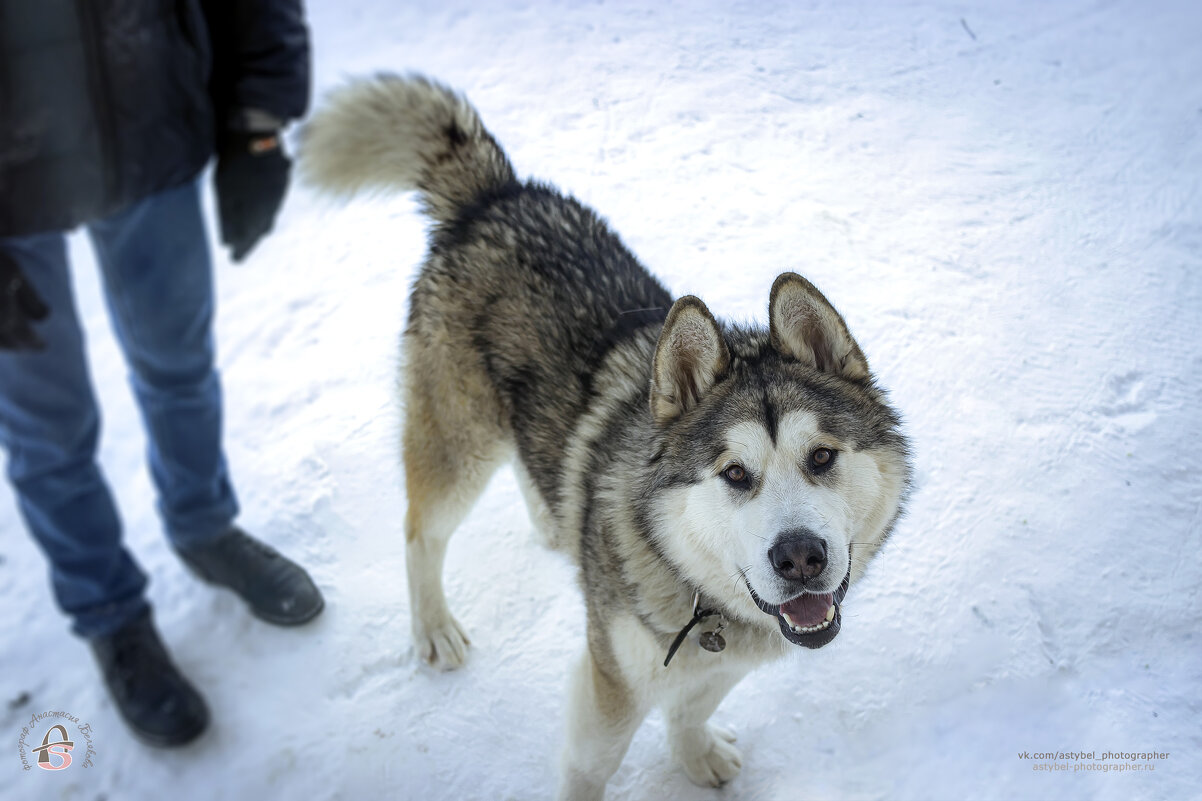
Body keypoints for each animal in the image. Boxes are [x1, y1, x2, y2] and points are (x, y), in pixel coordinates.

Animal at [302, 76, 908, 798]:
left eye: (821, 457)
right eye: (734, 473)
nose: (800, 558)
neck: (692, 582)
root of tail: (496, 193)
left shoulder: (727, 659)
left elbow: (692, 707)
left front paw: (695, 755)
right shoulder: (611, 676)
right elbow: (593, 765)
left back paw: (556, 520)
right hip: (460, 442)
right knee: (422, 531)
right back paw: (435, 628)